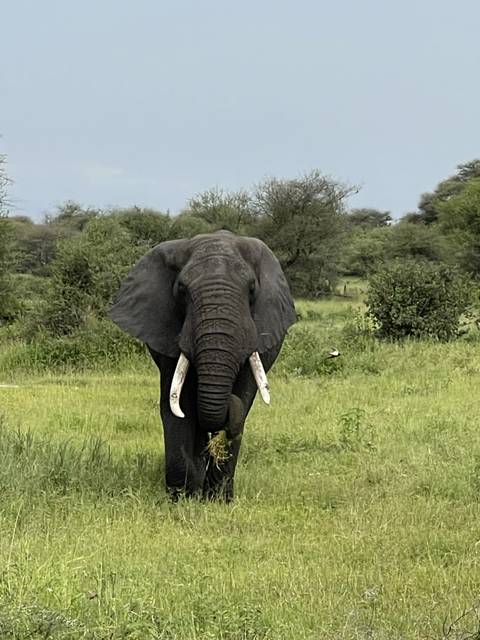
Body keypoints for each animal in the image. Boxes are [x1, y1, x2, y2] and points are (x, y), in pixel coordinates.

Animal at [109, 230, 296, 501]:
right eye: (182, 290)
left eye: (252, 290)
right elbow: (180, 405)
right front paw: (181, 496)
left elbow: (243, 397)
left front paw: (218, 500)